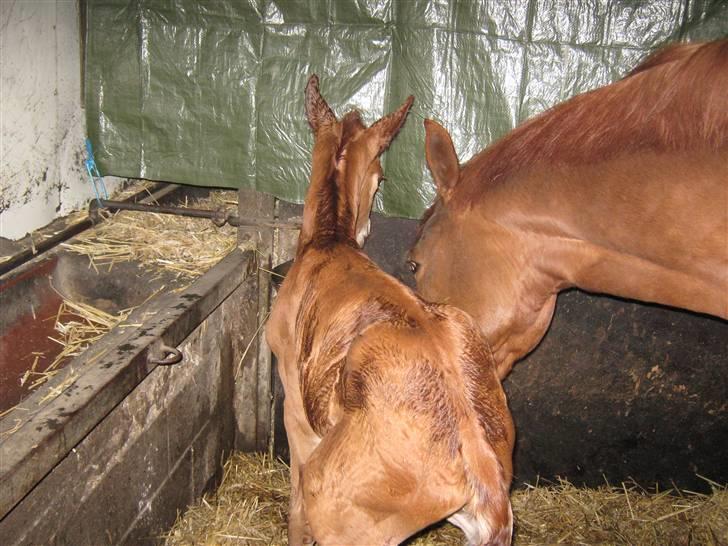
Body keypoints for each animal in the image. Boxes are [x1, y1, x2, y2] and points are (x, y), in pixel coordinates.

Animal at [266, 76, 512, 544]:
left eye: (380, 176)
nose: (365, 227)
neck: (329, 242)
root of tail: (477, 461)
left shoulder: (295, 406)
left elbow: (294, 508)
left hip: (340, 511)